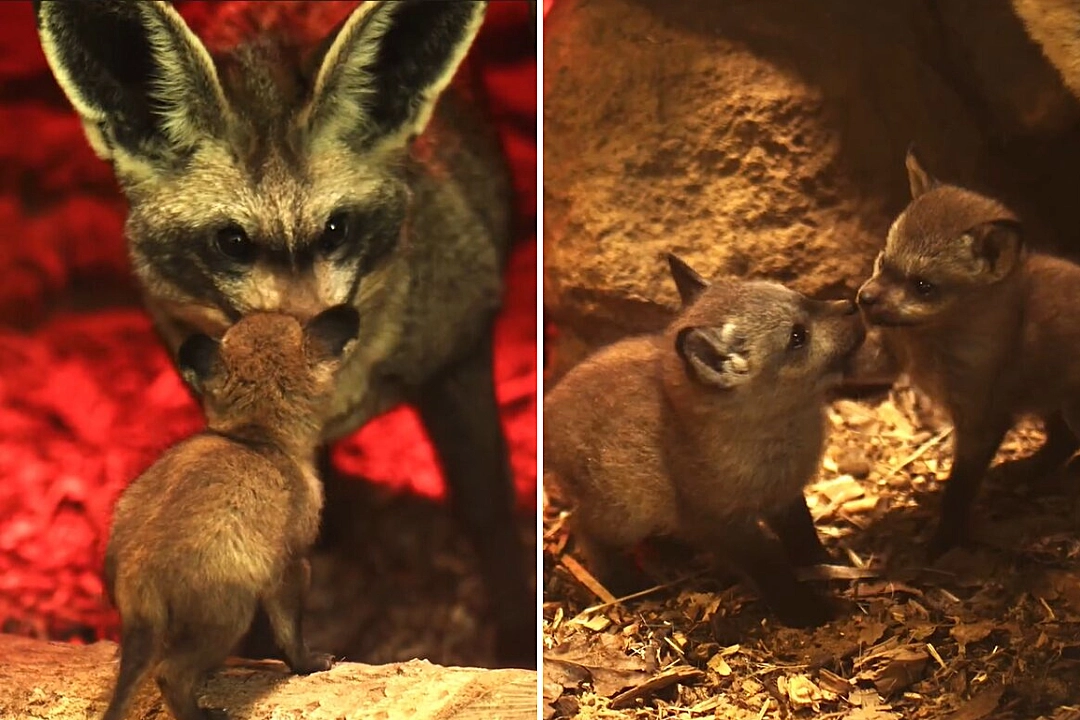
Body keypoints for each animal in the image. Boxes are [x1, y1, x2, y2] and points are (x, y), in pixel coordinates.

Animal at [33, 0, 533, 665]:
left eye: (337, 229)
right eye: (232, 242)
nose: (308, 342)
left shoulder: (462, 353)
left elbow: (490, 515)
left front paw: (516, 641)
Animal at [100, 305, 359, 720]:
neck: (257, 437)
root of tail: (135, 575)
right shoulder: (293, 564)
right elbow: (290, 633)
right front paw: (310, 664)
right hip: (231, 617)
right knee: (170, 672)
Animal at [543, 254, 865, 628]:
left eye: (802, 296)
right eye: (797, 337)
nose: (853, 303)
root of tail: (550, 405)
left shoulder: (783, 498)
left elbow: (803, 537)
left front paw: (826, 566)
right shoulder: (724, 526)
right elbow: (770, 567)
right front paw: (803, 611)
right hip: (623, 516)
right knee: (582, 528)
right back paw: (623, 584)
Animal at [856, 148, 1080, 558]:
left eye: (923, 286)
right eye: (882, 259)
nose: (864, 298)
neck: (929, 350)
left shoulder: (981, 422)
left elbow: (957, 493)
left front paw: (941, 542)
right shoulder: (891, 356)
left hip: (1068, 406)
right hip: (1050, 403)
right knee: (1062, 441)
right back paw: (1025, 471)